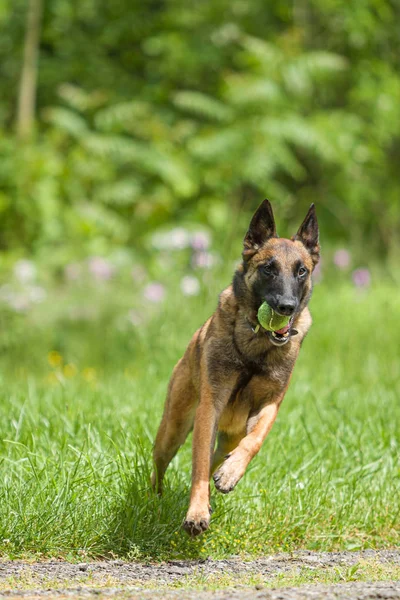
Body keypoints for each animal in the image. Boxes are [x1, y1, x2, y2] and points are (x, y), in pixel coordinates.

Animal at [152, 199, 320, 536]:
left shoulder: (269, 405)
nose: (286, 307)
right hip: (174, 428)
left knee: (218, 457)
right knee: (161, 461)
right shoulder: (210, 406)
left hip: (228, 433)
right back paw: (154, 497)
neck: (256, 344)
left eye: (301, 271)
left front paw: (230, 473)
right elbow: (198, 466)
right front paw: (196, 512)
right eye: (268, 268)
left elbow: (253, 442)